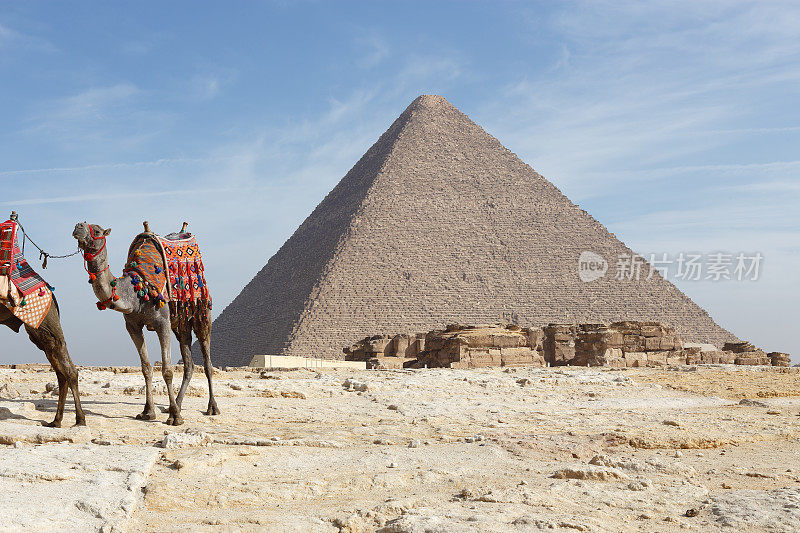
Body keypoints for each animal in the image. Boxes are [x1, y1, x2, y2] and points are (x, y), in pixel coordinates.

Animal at [72, 220, 219, 424]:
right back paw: (177, 404)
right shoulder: (132, 326)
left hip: (202, 313)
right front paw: (148, 411)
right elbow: (146, 368)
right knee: (188, 363)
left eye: (98, 230)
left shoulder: (163, 323)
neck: (136, 290)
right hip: (181, 325)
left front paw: (175, 418)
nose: (79, 226)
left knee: (207, 362)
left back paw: (211, 407)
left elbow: (167, 370)